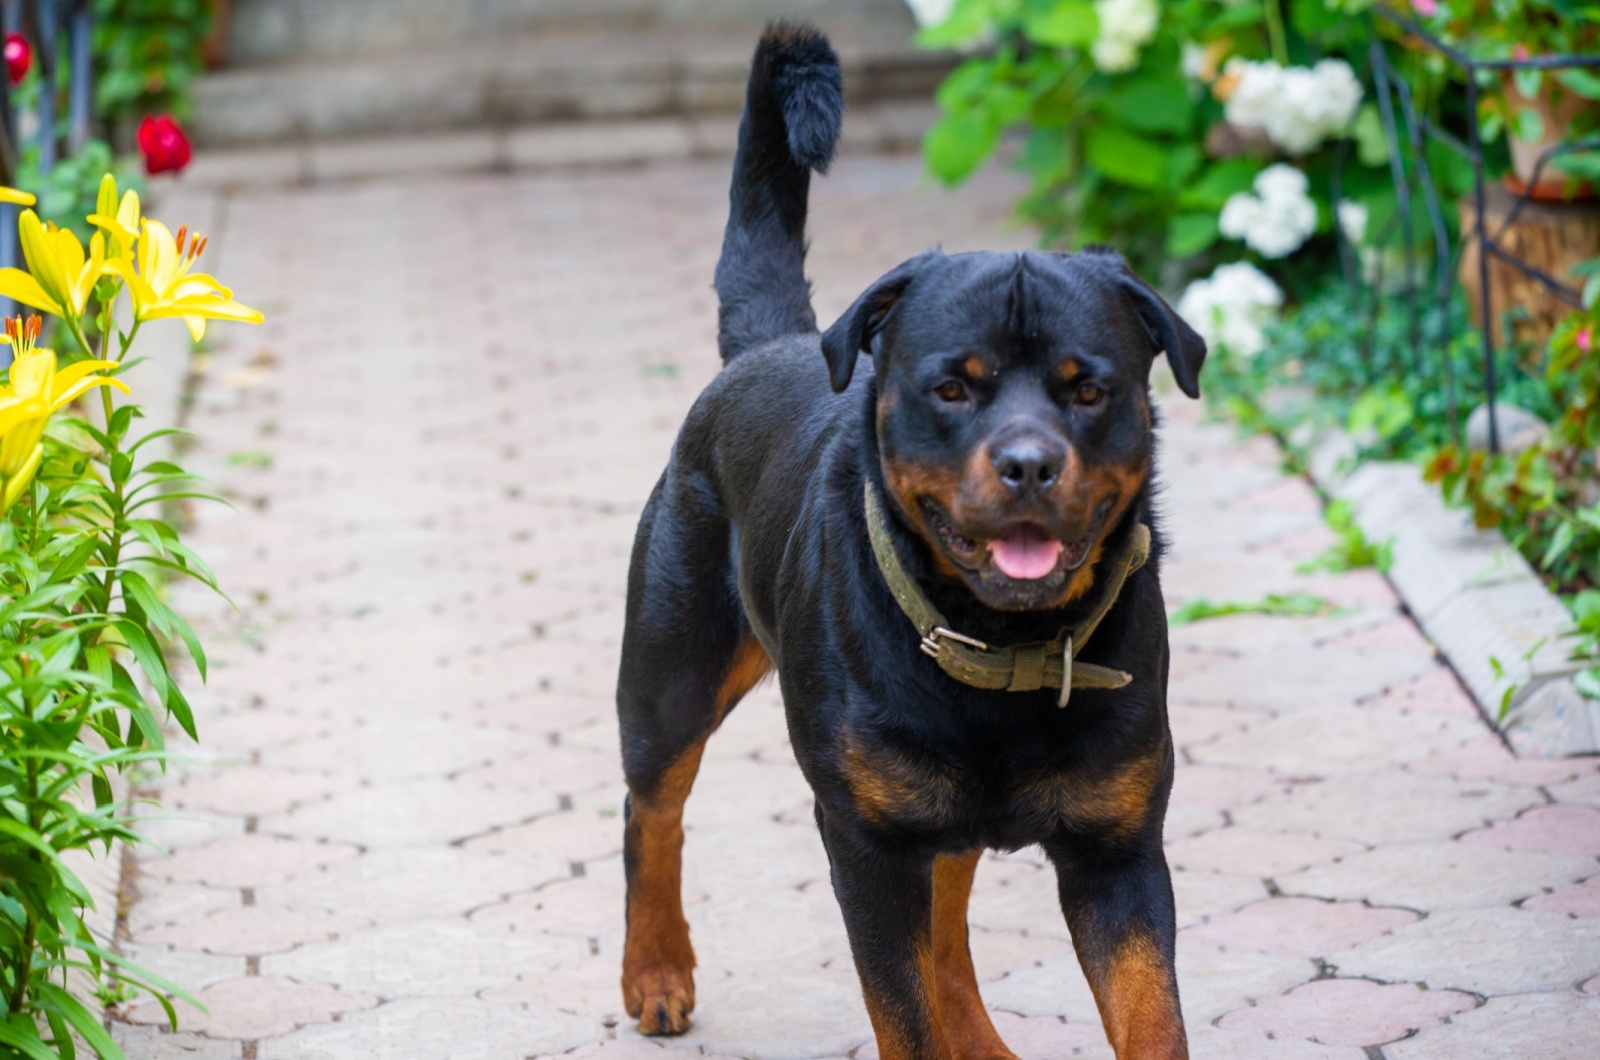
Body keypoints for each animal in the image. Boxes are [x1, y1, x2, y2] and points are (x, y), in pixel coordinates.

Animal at [611, 22, 1203, 1060]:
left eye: (1089, 388)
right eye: (952, 388)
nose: (1028, 463)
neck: (1004, 645)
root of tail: (765, 348)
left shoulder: (1118, 849)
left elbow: (1149, 1018)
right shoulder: (867, 844)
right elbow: (904, 1010)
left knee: (950, 923)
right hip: (669, 676)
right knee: (654, 812)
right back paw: (655, 973)